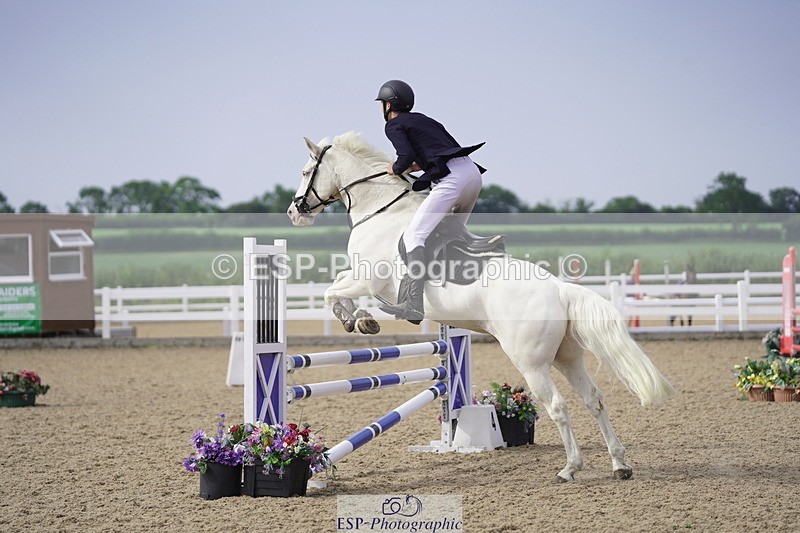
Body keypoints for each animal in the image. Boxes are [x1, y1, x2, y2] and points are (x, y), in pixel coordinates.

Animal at [286, 131, 677, 482]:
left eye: (306, 172)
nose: (294, 211)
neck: (380, 211)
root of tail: (560, 289)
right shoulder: (360, 278)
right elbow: (335, 289)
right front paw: (360, 320)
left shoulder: (366, 278)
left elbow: (332, 293)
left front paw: (358, 321)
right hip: (566, 357)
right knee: (593, 399)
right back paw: (619, 464)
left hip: (532, 362)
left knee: (558, 406)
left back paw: (570, 468)